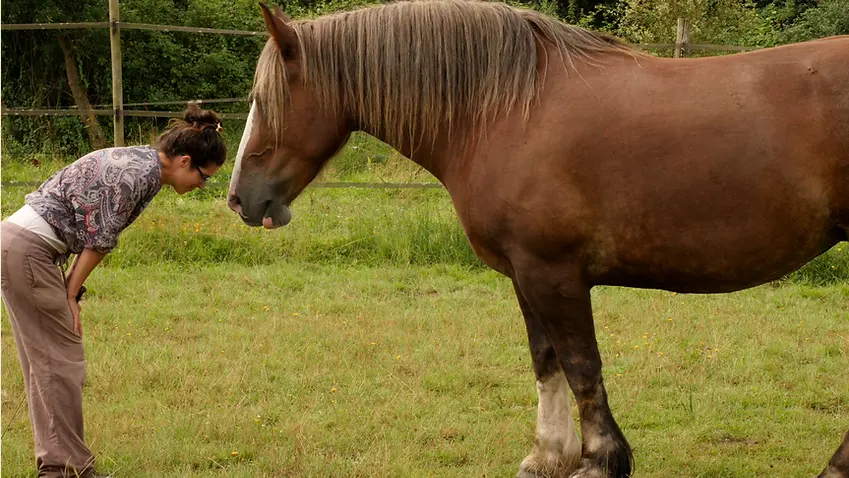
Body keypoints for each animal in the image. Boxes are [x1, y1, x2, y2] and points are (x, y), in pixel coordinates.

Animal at [225, 1, 848, 476]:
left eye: (267, 100)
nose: (239, 199)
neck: (503, 112)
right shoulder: (525, 274)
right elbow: (546, 361)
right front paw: (548, 455)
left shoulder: (552, 272)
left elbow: (581, 364)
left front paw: (598, 461)